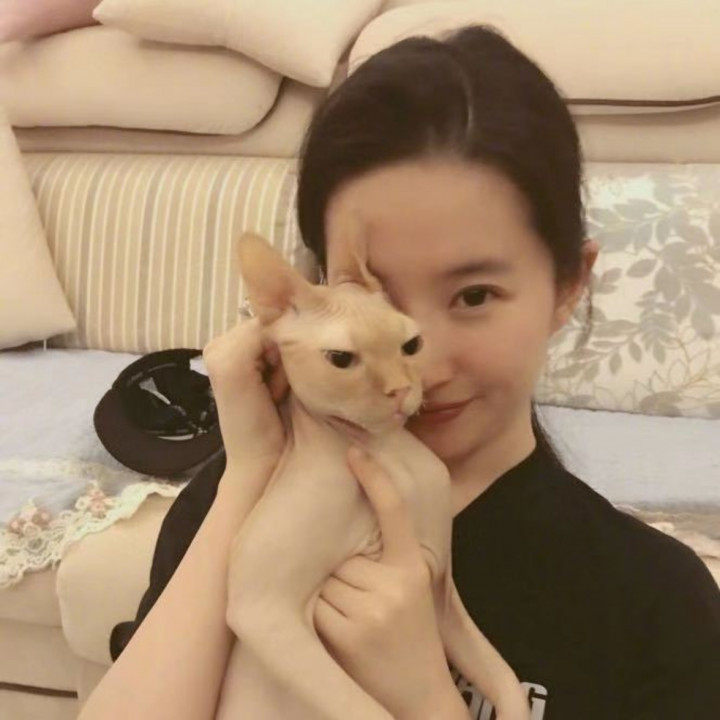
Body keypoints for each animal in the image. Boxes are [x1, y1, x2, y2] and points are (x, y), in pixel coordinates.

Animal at [214, 222, 530, 720]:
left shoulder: (436, 580)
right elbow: (366, 710)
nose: (401, 390)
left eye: (412, 345)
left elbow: (503, 675)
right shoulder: (260, 608)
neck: (387, 453)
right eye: (341, 360)